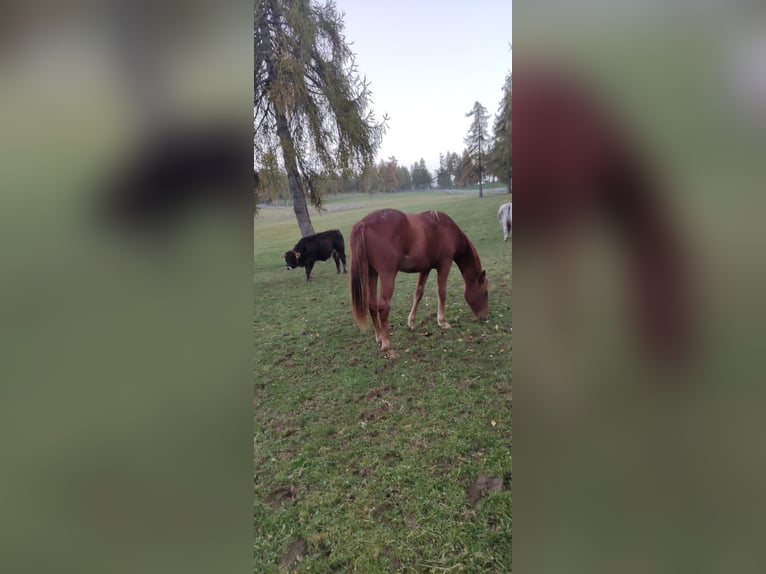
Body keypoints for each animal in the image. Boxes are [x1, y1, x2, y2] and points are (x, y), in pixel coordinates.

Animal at [352, 209, 488, 358]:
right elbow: (442, 292)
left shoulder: (425, 268)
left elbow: (419, 293)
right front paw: (442, 322)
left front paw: (411, 322)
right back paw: (388, 346)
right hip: (387, 275)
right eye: (485, 292)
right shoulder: (445, 264)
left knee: (372, 305)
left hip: (372, 274)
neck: (445, 227)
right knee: (383, 307)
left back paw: (380, 337)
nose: (485, 317)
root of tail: (364, 223)